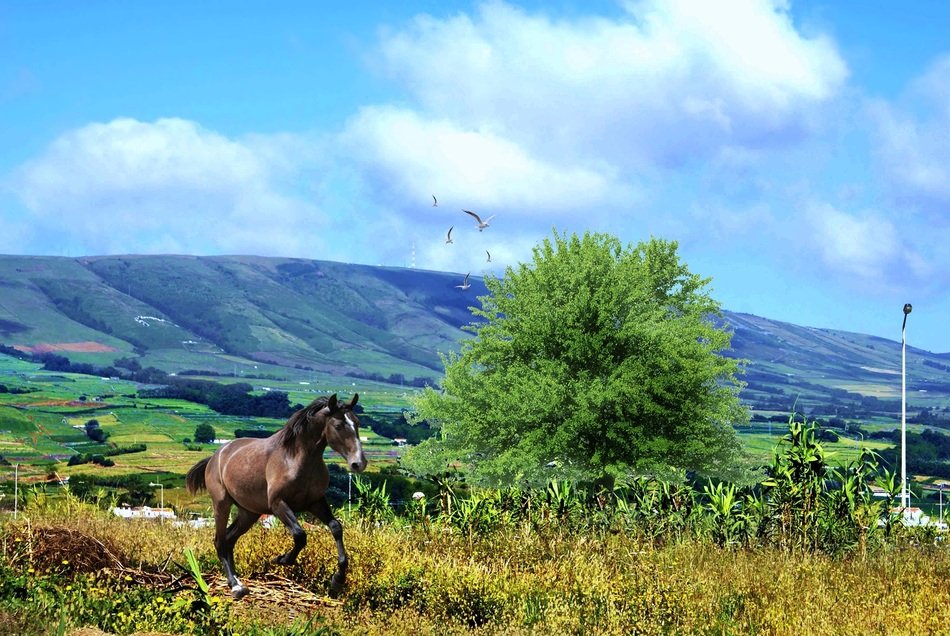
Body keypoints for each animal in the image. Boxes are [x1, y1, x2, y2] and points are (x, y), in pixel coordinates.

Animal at [185, 393, 367, 599]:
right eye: (338, 426)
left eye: (357, 422)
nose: (359, 463)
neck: (297, 459)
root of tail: (216, 456)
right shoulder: (278, 503)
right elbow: (300, 534)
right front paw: (282, 559)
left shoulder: (316, 502)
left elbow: (336, 527)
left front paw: (338, 580)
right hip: (221, 504)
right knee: (220, 541)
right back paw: (235, 586)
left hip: (249, 513)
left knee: (230, 540)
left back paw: (238, 582)